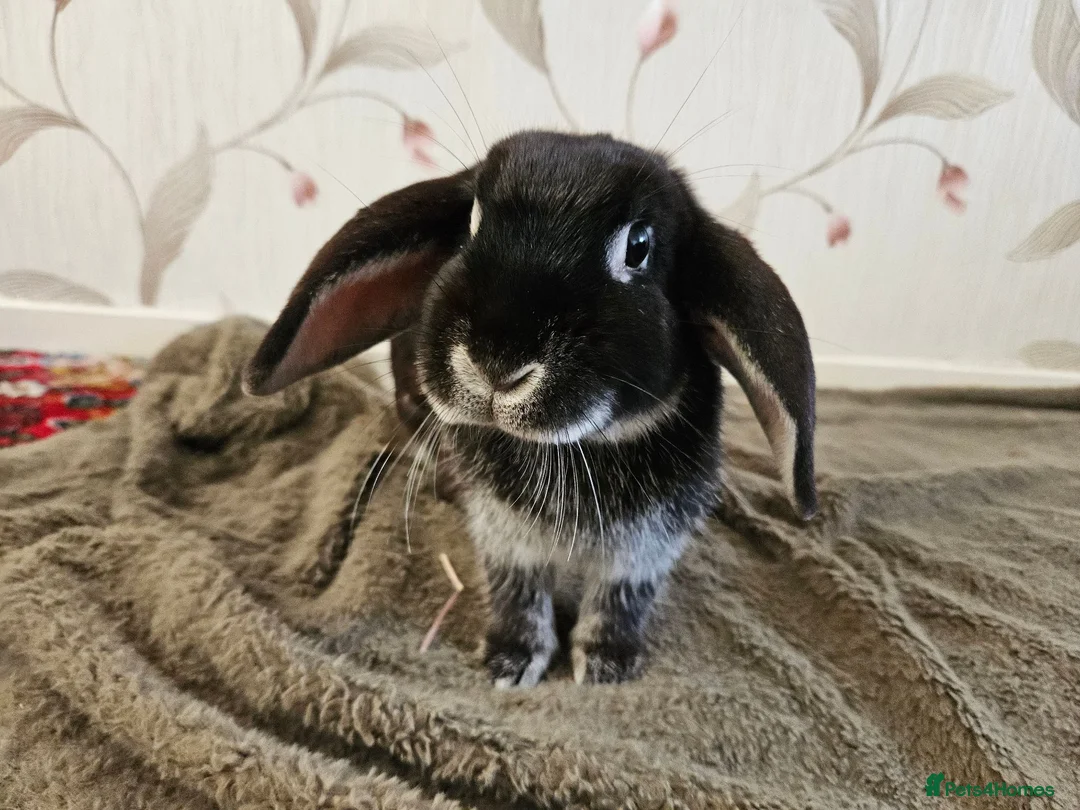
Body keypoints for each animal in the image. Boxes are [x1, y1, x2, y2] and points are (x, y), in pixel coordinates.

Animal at [243, 130, 817, 686]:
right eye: (472, 222)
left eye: (639, 246)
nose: (498, 361)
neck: (578, 446)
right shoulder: (505, 535)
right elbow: (518, 593)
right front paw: (511, 662)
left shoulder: (647, 544)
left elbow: (619, 599)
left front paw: (607, 666)